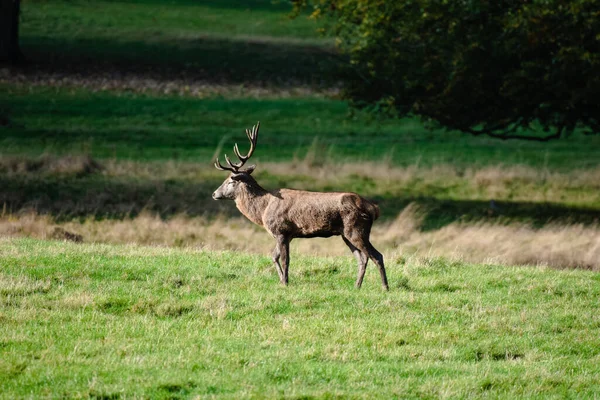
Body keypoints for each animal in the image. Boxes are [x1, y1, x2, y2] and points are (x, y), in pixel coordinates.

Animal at [213, 122, 392, 290]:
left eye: (230, 181)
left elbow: (285, 260)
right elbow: (274, 256)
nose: (215, 194)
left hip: (357, 229)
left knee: (377, 255)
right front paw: (281, 281)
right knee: (362, 258)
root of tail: (374, 209)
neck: (263, 210)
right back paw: (357, 286)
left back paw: (385, 287)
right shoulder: (287, 235)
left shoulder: (281, 230)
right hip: (346, 234)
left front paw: (286, 282)